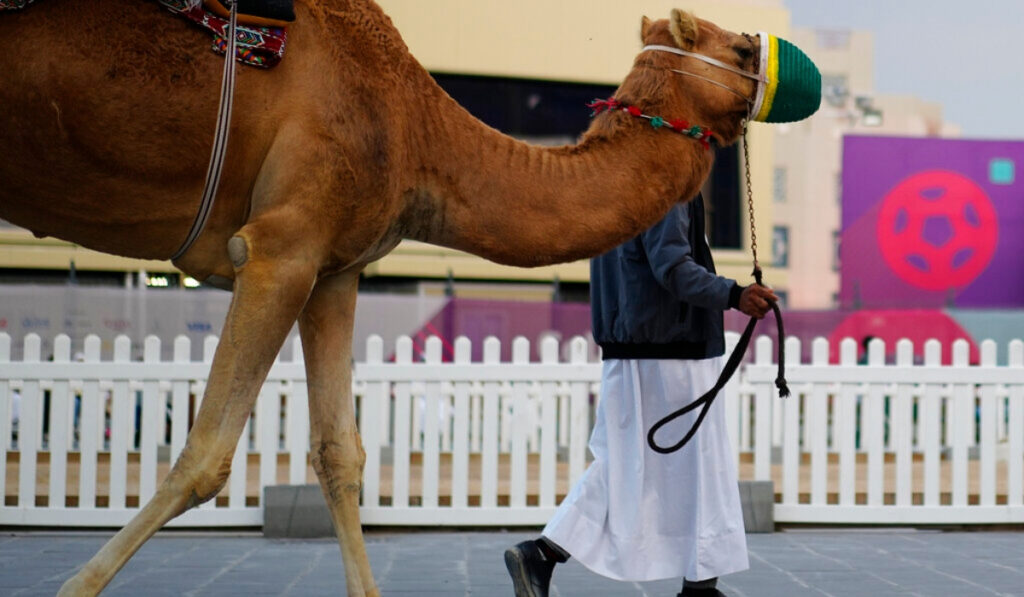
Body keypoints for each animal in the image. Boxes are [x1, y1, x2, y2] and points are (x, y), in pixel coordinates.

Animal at [0, 1, 770, 597]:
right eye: (738, 47)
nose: (765, 51)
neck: (412, 128)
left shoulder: (332, 266)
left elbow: (339, 453)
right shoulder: (279, 246)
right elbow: (206, 454)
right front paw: (73, 587)